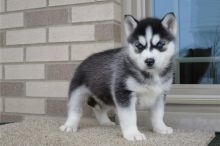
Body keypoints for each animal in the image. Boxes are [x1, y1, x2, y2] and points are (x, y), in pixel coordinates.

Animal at [59, 12, 177, 141]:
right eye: (139, 46)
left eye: (160, 44)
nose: (149, 61)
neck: (150, 75)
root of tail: (85, 60)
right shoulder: (124, 93)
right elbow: (130, 116)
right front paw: (133, 133)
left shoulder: (159, 95)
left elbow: (158, 115)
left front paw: (161, 128)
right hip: (77, 92)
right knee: (75, 110)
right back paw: (70, 125)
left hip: (105, 96)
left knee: (99, 108)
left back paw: (105, 122)